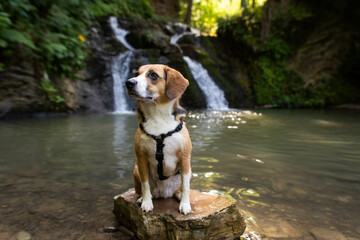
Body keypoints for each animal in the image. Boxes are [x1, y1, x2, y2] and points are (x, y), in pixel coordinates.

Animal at [126, 64, 193, 216]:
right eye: (137, 74)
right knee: (142, 190)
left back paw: (178, 194)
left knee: (180, 187)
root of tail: (164, 193)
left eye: (153, 75)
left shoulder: (185, 158)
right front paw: (146, 203)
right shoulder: (141, 158)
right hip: (136, 169)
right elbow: (145, 184)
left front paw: (185, 204)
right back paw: (142, 198)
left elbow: (185, 185)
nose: (129, 82)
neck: (158, 116)